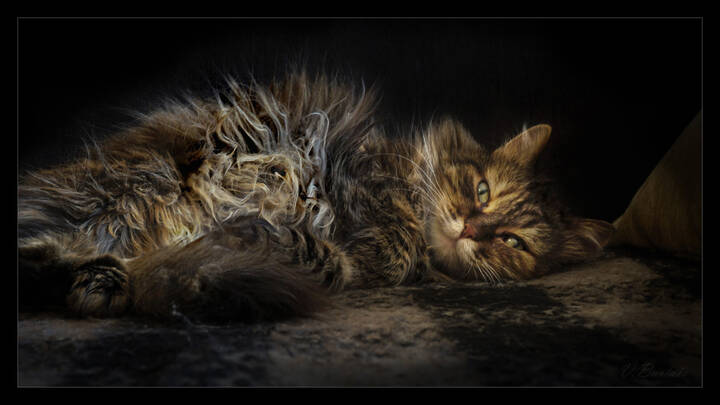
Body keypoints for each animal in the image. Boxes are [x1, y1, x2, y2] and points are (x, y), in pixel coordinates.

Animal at [18, 72, 614, 322]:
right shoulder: (357, 172)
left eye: (511, 242)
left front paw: (288, 243)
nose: (470, 227)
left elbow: (354, 260)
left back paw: (105, 285)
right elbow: (389, 239)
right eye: (483, 191)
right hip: (137, 193)